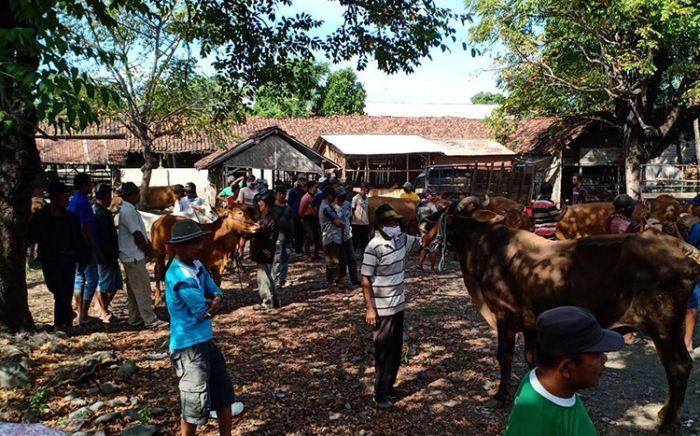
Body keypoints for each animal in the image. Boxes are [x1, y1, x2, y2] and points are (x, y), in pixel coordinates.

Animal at [426, 197, 700, 432]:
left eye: (443, 216)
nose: (425, 223)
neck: (486, 248)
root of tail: (679, 247)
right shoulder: (531, 323)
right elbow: (532, 359)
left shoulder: (505, 315)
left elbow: (503, 356)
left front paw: (500, 396)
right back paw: (664, 414)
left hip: (664, 324)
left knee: (679, 366)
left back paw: (668, 423)